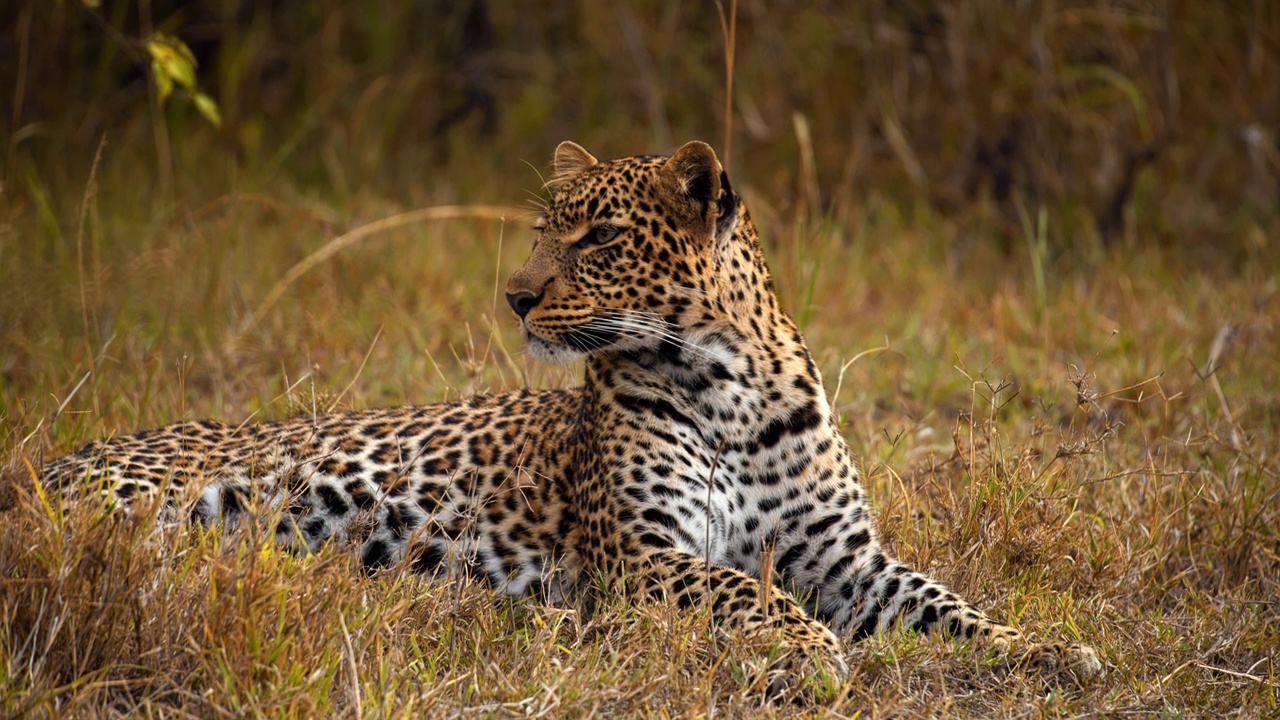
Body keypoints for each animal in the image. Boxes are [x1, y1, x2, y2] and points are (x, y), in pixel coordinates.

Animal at [35, 139, 1105, 691]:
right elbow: (746, 589)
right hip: (143, 507)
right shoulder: (637, 553)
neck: (732, 385)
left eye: (596, 237)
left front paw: (1049, 650)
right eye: (545, 229)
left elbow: (947, 603)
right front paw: (808, 652)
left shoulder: (848, 560)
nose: (512, 297)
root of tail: (50, 460)